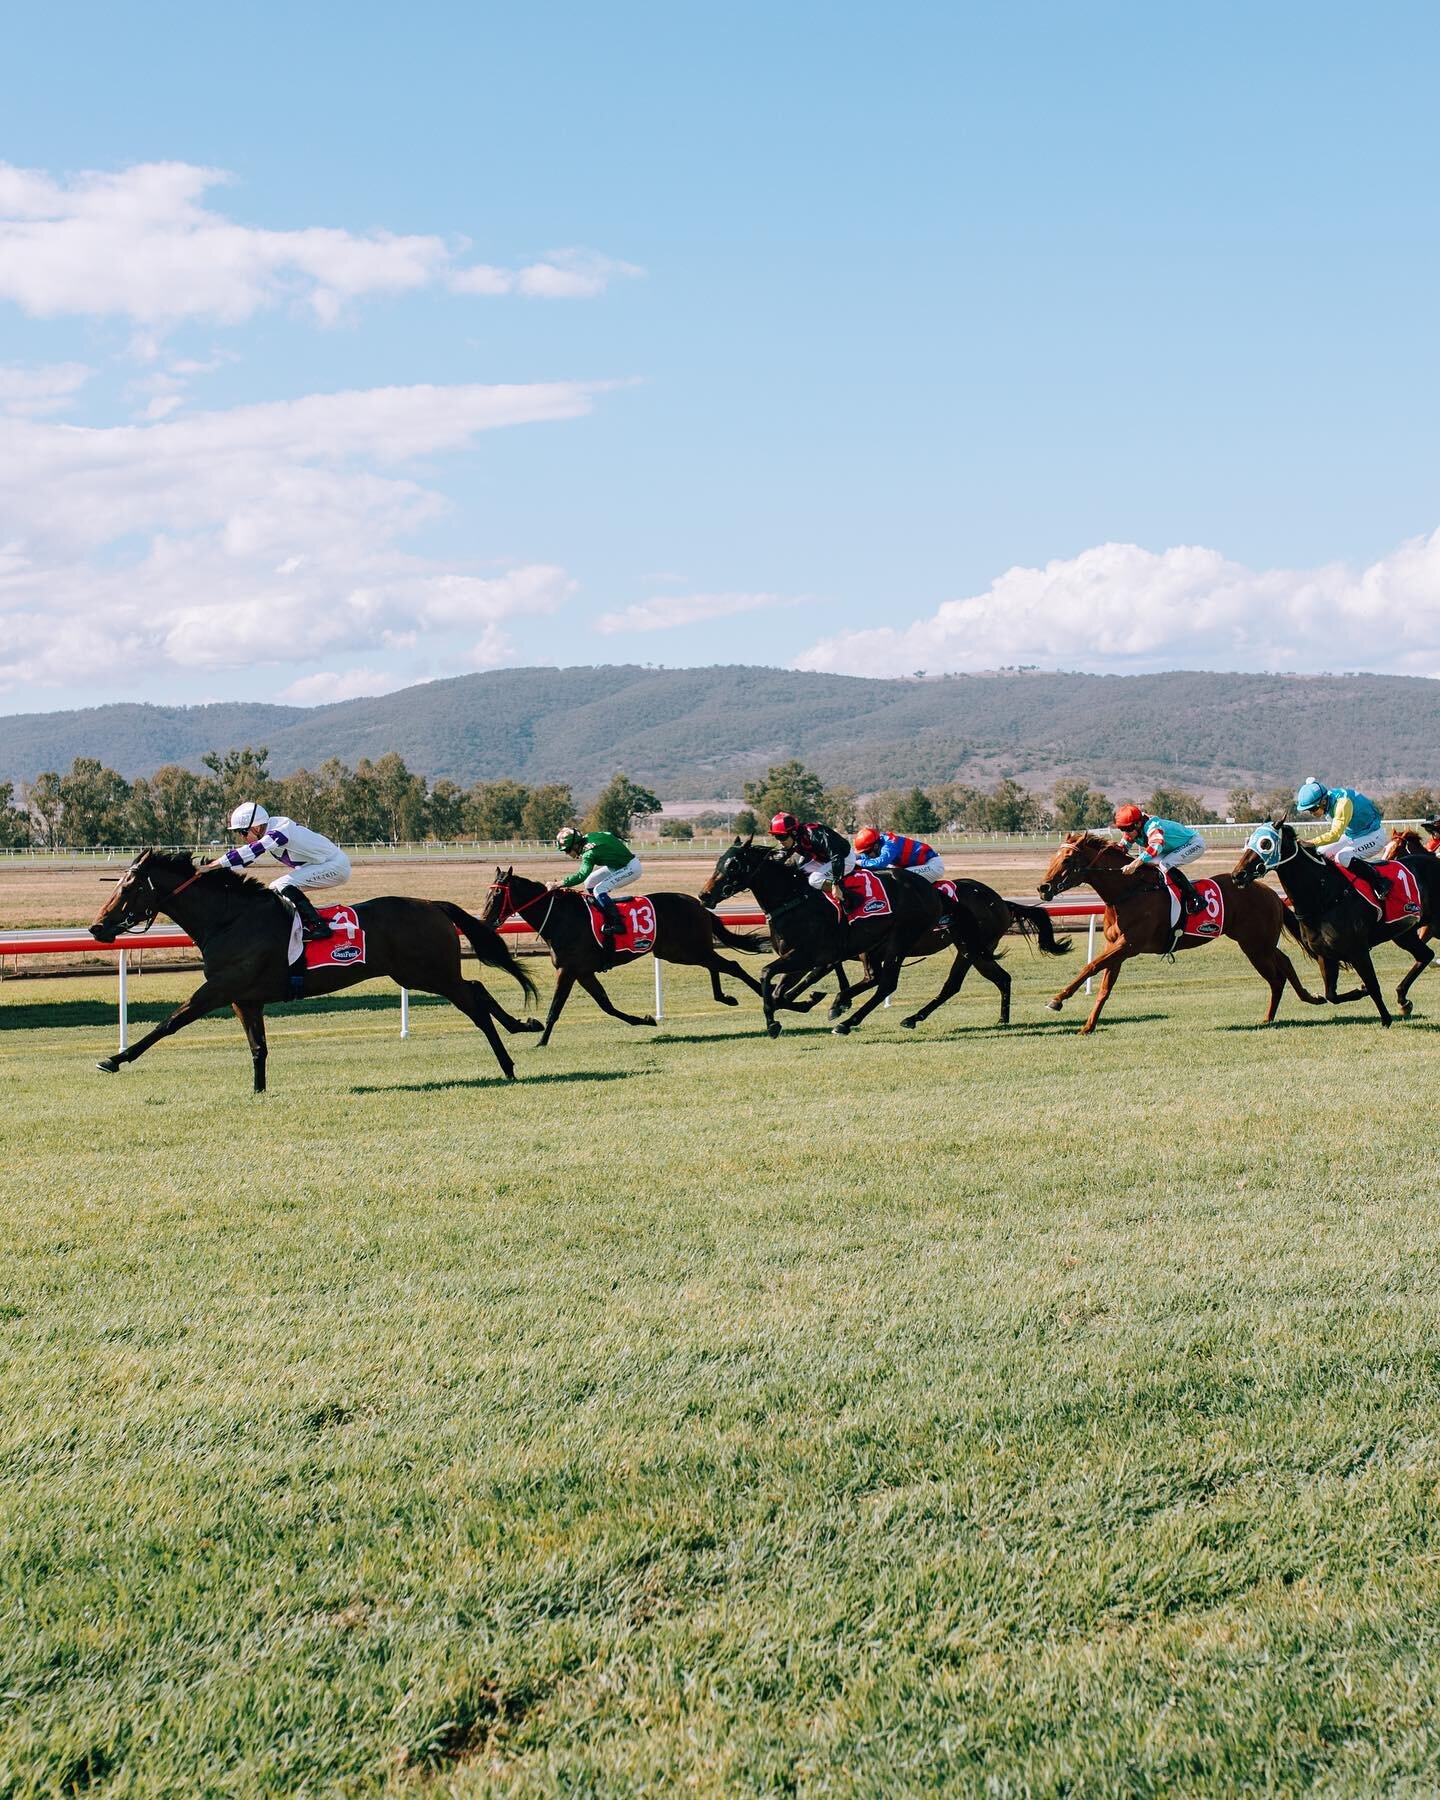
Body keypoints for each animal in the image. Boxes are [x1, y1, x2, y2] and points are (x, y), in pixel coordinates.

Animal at [90, 849, 540, 1087]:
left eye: (129, 888)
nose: (97, 927)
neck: (230, 919)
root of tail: (433, 904)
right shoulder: (244, 998)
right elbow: (258, 1046)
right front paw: (258, 1091)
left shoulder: (218, 988)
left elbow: (170, 1022)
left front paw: (115, 1058)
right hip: (421, 973)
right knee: (478, 987)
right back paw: (524, 1026)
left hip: (428, 973)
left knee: (474, 1001)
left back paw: (509, 1063)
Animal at [482, 867, 777, 1051]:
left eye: (497, 894)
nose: (484, 923)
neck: (560, 918)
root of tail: (699, 904)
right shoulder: (583, 972)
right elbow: (606, 1005)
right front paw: (644, 1019)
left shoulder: (568, 970)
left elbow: (556, 1008)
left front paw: (541, 1040)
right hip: (680, 951)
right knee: (716, 965)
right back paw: (726, 997)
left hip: (686, 950)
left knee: (731, 965)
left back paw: (768, 995)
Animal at [698, 835, 943, 1036]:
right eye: (718, 862)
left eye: (734, 864)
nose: (704, 895)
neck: (793, 899)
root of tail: (930, 890)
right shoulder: (799, 959)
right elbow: (779, 992)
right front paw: (808, 1001)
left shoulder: (808, 955)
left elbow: (767, 973)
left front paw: (772, 1023)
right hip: (872, 946)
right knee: (875, 978)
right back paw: (841, 1008)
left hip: (900, 939)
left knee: (887, 984)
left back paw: (846, 1022)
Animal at [1036, 831, 1317, 1036]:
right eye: (1053, 858)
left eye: (1067, 860)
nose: (1043, 887)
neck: (1129, 891)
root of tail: (1270, 892)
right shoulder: (1115, 946)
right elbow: (1105, 987)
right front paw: (1088, 1026)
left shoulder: (1129, 945)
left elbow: (1091, 966)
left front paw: (1057, 1000)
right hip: (1258, 943)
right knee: (1284, 964)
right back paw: (1303, 1001)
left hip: (1256, 945)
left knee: (1277, 976)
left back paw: (1287, 1008)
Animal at [1224, 820, 1440, 1029]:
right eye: (1249, 840)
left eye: (1265, 843)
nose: (1238, 874)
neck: (1325, 896)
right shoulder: (1325, 954)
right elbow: (1331, 995)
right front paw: (1360, 991)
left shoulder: (1358, 951)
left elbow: (1373, 986)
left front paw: (1386, 1019)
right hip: (1404, 934)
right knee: (1425, 955)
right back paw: (1403, 999)